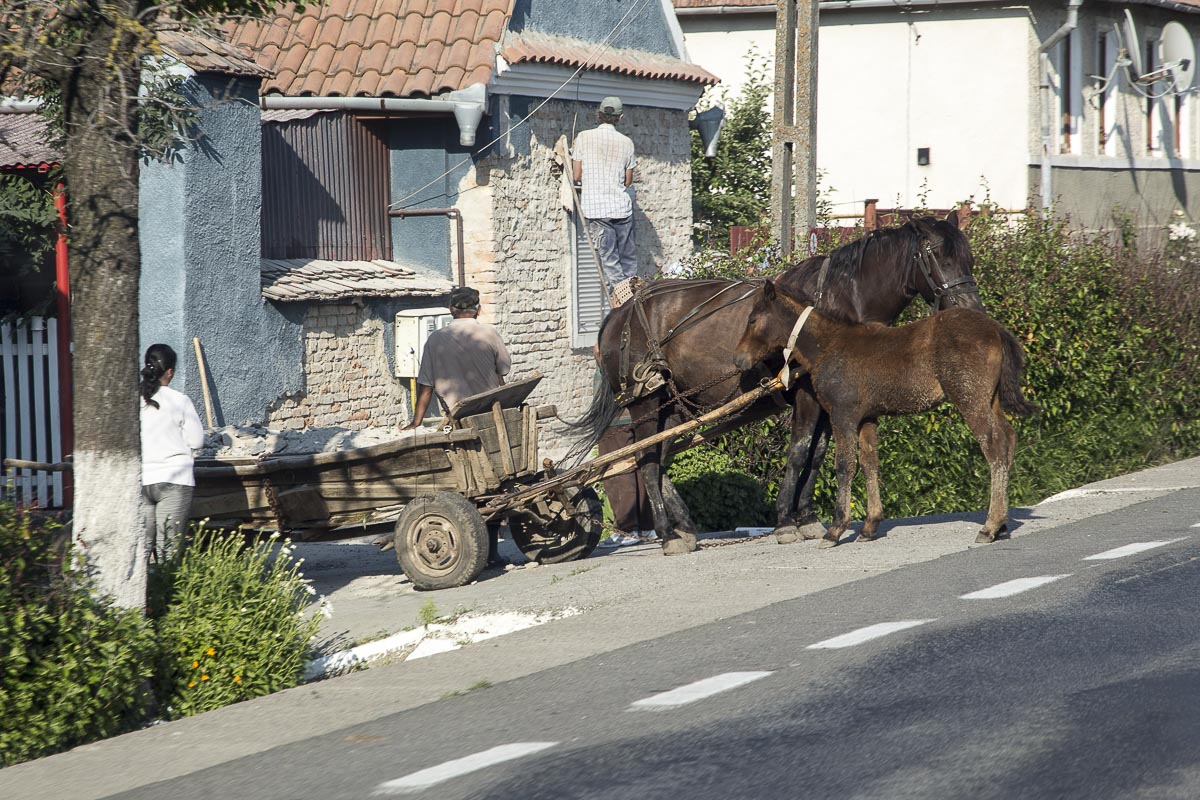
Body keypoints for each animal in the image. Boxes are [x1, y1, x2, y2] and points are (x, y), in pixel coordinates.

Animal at [574, 213, 984, 556]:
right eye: (936, 255)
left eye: (967, 257)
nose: (971, 309)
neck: (837, 300)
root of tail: (617, 315)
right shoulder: (806, 395)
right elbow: (799, 451)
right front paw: (787, 522)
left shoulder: (828, 399)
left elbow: (817, 454)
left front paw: (807, 517)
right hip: (646, 404)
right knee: (645, 462)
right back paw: (666, 534)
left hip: (673, 406)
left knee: (658, 461)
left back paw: (685, 527)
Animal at [734, 281, 1039, 546]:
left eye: (753, 320)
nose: (739, 360)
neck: (827, 345)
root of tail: (996, 329)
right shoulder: (867, 417)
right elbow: (870, 462)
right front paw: (869, 527)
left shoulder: (843, 414)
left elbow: (844, 465)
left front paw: (835, 530)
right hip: (990, 398)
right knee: (1008, 438)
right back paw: (1001, 526)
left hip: (970, 397)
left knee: (994, 445)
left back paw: (990, 526)